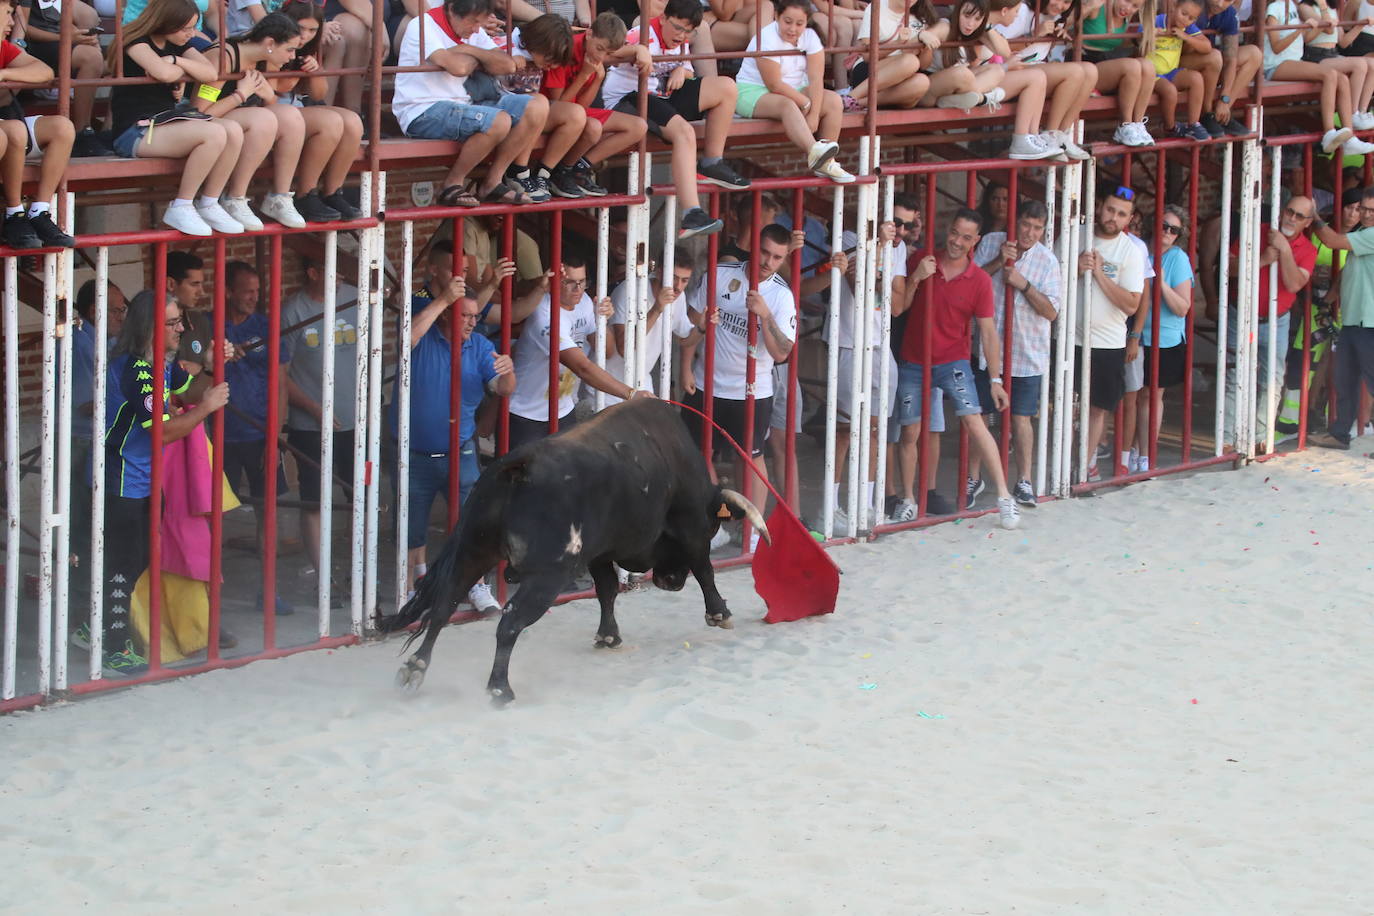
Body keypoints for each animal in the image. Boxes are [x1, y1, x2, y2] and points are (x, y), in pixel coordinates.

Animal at [370, 398, 769, 708]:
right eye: (714, 528)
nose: (671, 583)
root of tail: (519, 466)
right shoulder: (692, 531)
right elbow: (705, 570)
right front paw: (719, 613)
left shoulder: (599, 554)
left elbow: (606, 589)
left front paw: (608, 635)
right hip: (546, 577)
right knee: (509, 623)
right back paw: (500, 689)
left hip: (472, 551)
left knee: (442, 608)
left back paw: (415, 669)